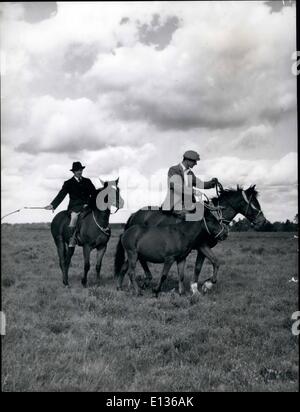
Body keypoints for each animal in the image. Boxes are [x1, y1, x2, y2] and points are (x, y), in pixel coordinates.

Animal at [115, 185, 264, 294]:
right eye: (253, 203)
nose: (263, 221)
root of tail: (134, 215)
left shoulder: (201, 248)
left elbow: (215, 262)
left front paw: (205, 284)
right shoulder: (202, 246)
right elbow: (199, 267)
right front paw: (199, 287)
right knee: (140, 262)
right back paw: (144, 281)